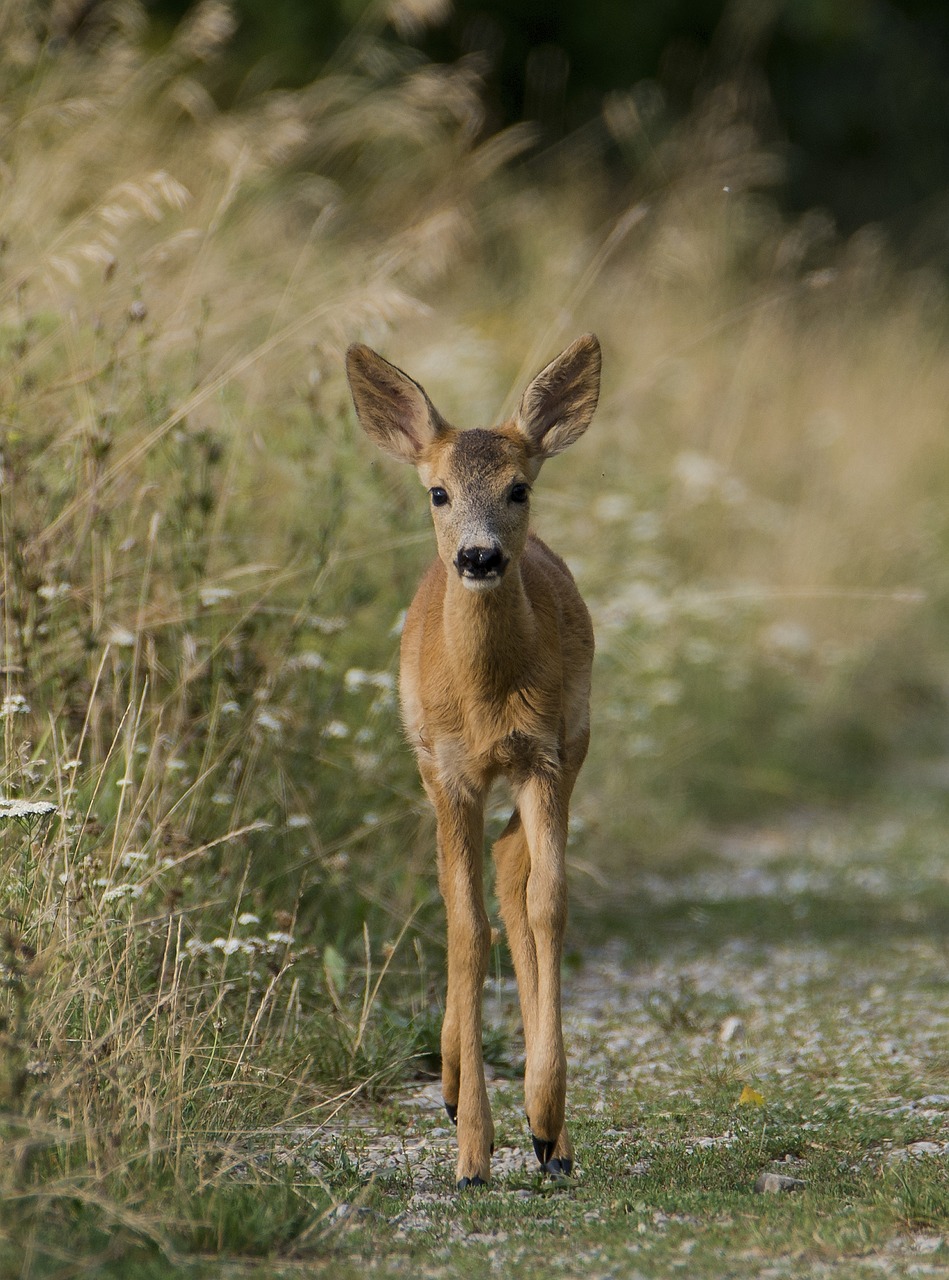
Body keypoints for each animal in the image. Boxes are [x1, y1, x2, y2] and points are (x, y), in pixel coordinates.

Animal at [348, 332, 599, 1187]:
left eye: (518, 488)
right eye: (437, 492)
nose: (480, 557)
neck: (487, 697)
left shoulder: (543, 758)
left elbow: (546, 905)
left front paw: (544, 1119)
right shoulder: (451, 771)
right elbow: (464, 928)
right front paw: (471, 1156)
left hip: (575, 747)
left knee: (512, 868)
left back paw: (549, 1142)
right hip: (429, 764)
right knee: (469, 888)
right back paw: (457, 1089)